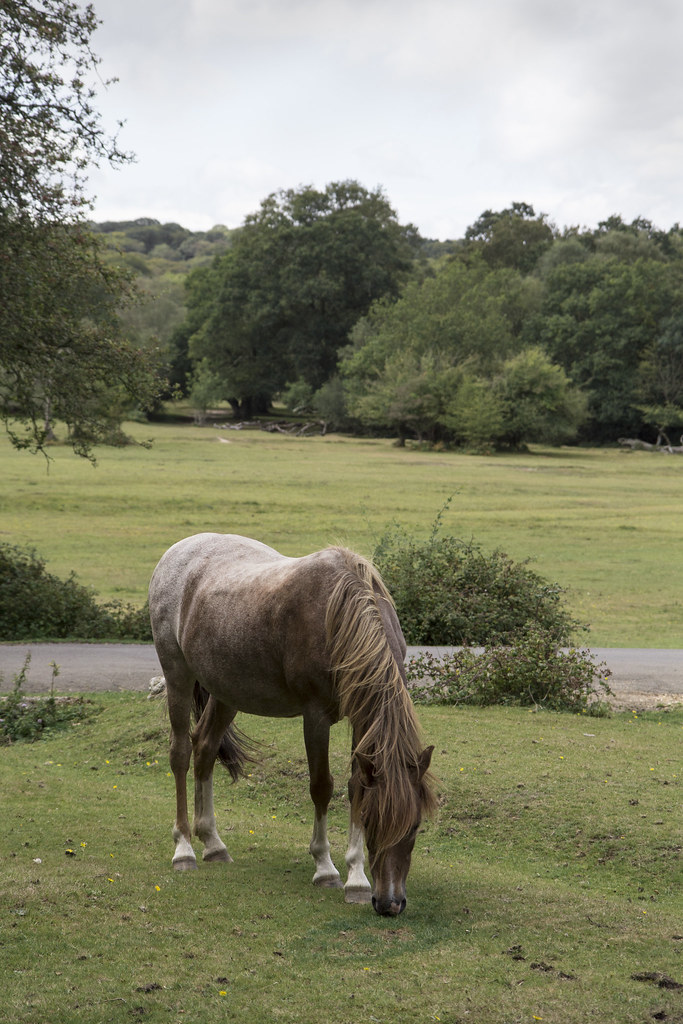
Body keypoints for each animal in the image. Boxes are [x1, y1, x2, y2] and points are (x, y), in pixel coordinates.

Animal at [148, 533, 436, 916]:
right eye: (374, 822)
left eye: (416, 826)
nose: (390, 903)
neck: (341, 616)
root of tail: (178, 550)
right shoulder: (315, 717)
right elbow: (321, 787)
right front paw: (326, 868)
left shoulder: (362, 718)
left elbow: (357, 785)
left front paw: (357, 877)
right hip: (177, 675)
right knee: (180, 753)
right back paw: (184, 849)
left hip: (227, 692)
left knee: (205, 748)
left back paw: (213, 843)